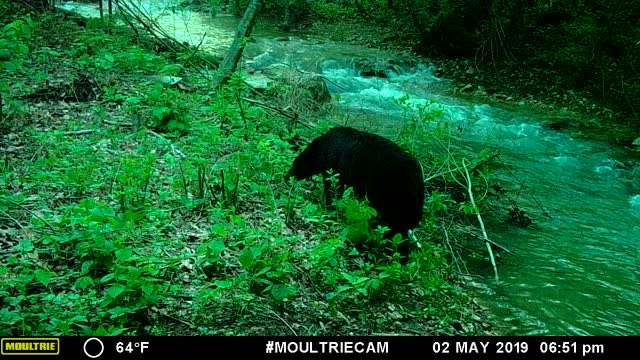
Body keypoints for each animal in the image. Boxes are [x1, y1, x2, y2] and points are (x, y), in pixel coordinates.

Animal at [286, 125, 424, 258]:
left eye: (294, 164)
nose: (286, 176)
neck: (324, 146)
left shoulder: (335, 164)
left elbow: (333, 186)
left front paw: (330, 206)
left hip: (394, 193)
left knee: (396, 226)